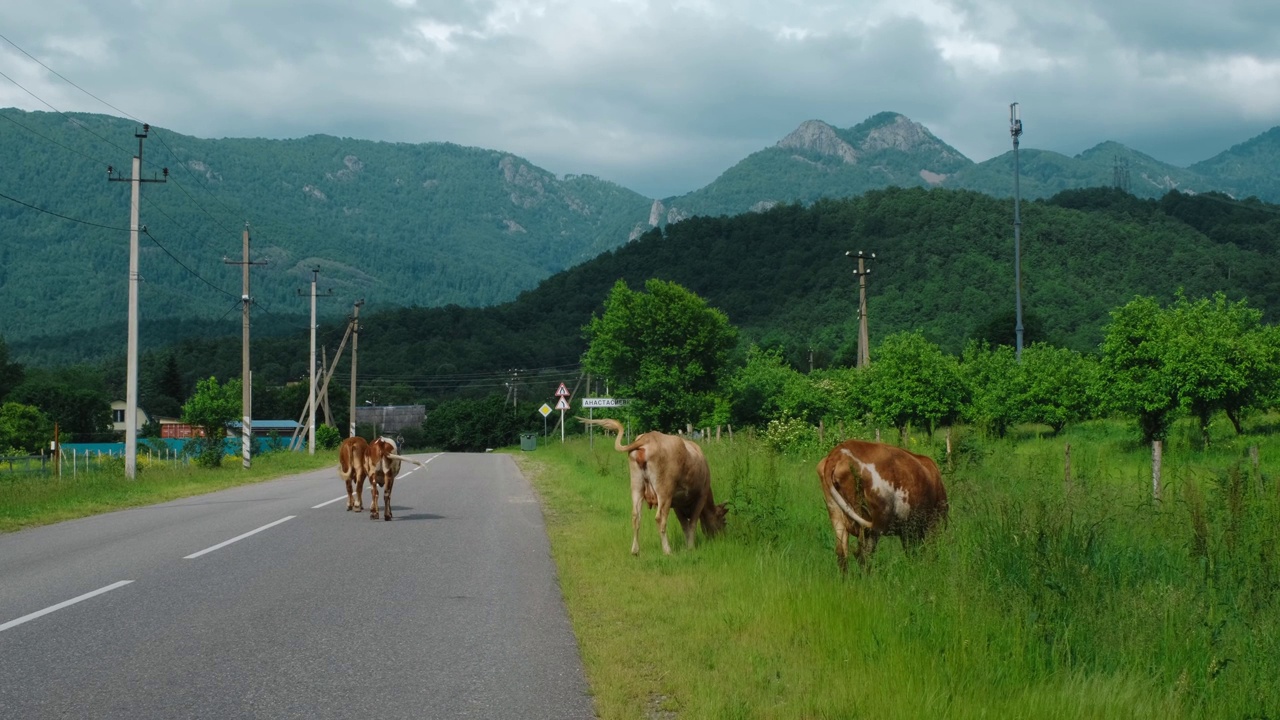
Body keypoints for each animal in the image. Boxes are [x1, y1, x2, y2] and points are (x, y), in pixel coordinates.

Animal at [578, 415, 727, 556]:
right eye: (723, 520)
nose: (721, 537)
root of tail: (648, 438)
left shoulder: (677, 503)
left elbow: (684, 524)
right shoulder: (701, 495)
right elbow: (692, 523)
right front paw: (690, 547)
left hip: (637, 486)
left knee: (636, 516)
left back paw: (635, 550)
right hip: (664, 490)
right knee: (660, 518)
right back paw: (667, 550)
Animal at [814, 438, 947, 571]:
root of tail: (838, 452)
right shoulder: (933, 523)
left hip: (836, 514)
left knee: (842, 554)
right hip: (870, 522)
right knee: (863, 555)